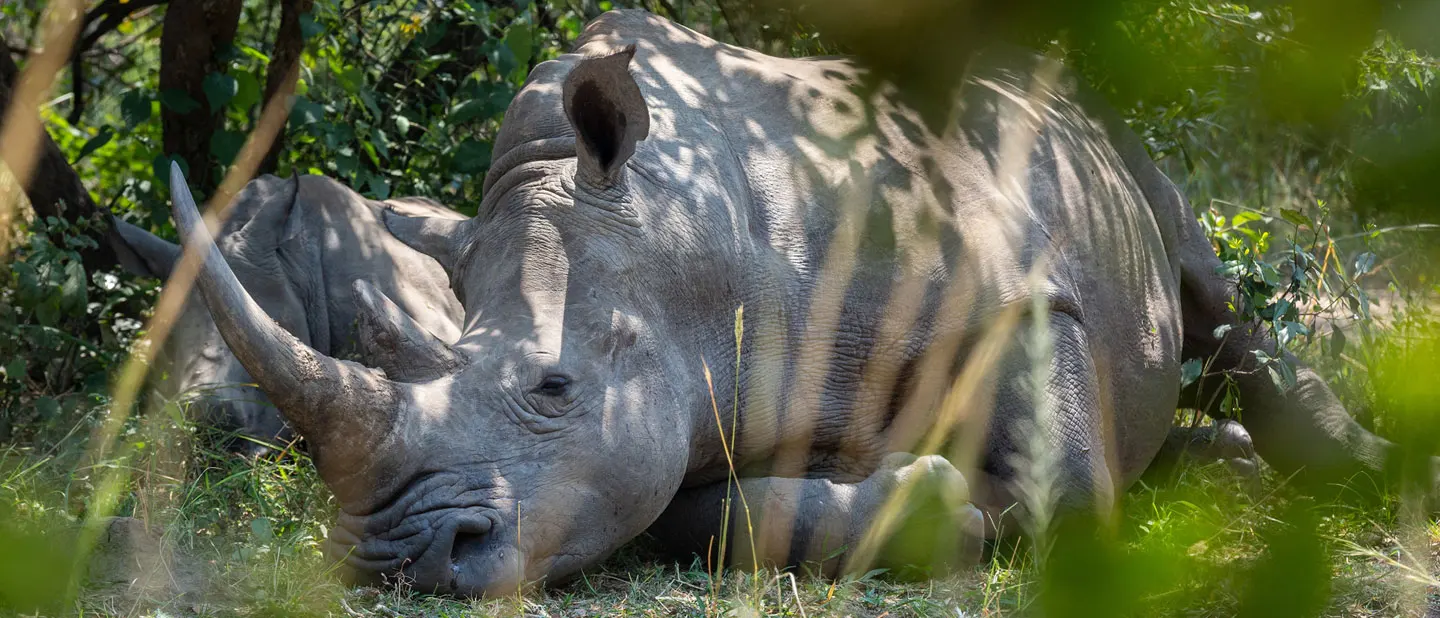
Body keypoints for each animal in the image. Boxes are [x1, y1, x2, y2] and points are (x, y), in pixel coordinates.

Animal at [165, 9, 1428, 593]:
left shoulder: (1023, 298)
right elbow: (713, 515)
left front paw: (960, 501)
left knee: (1203, 278)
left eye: (553, 388)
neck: (688, 241)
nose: (394, 560)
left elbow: (1065, 497)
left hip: (1108, 142)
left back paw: (1345, 469)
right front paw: (922, 500)